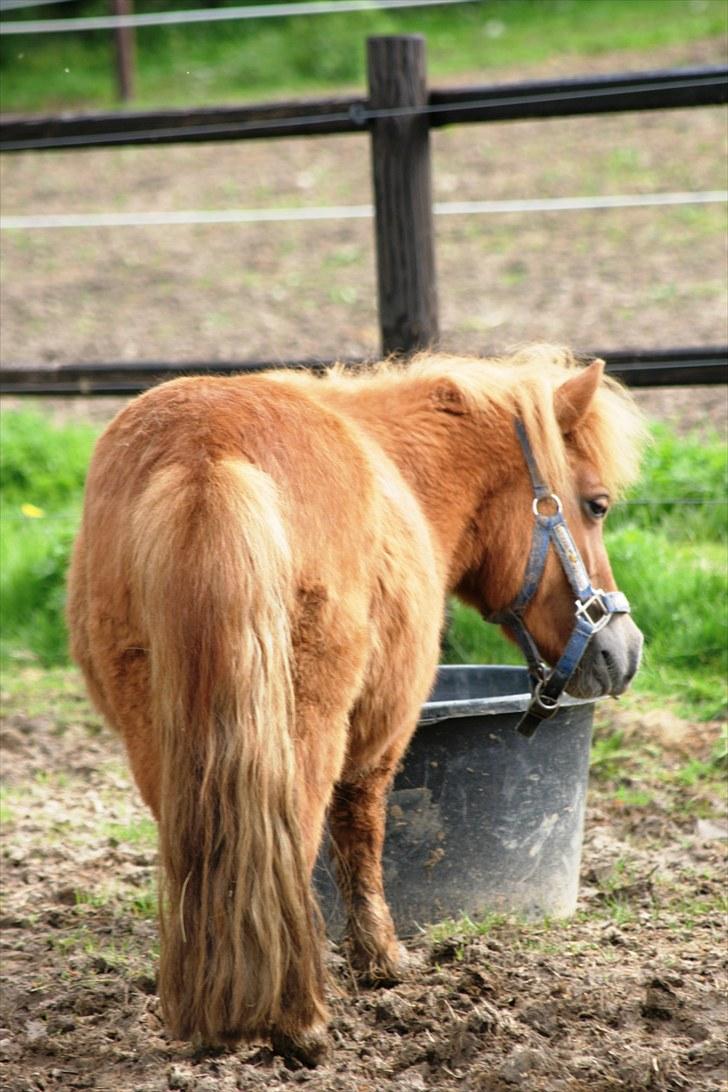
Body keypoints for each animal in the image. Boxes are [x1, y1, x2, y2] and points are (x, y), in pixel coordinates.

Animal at [68, 347, 646, 1065]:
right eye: (596, 505)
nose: (624, 649)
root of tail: (206, 456)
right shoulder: (384, 731)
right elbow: (361, 835)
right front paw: (381, 959)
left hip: (161, 742)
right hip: (306, 731)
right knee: (296, 838)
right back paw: (298, 1021)